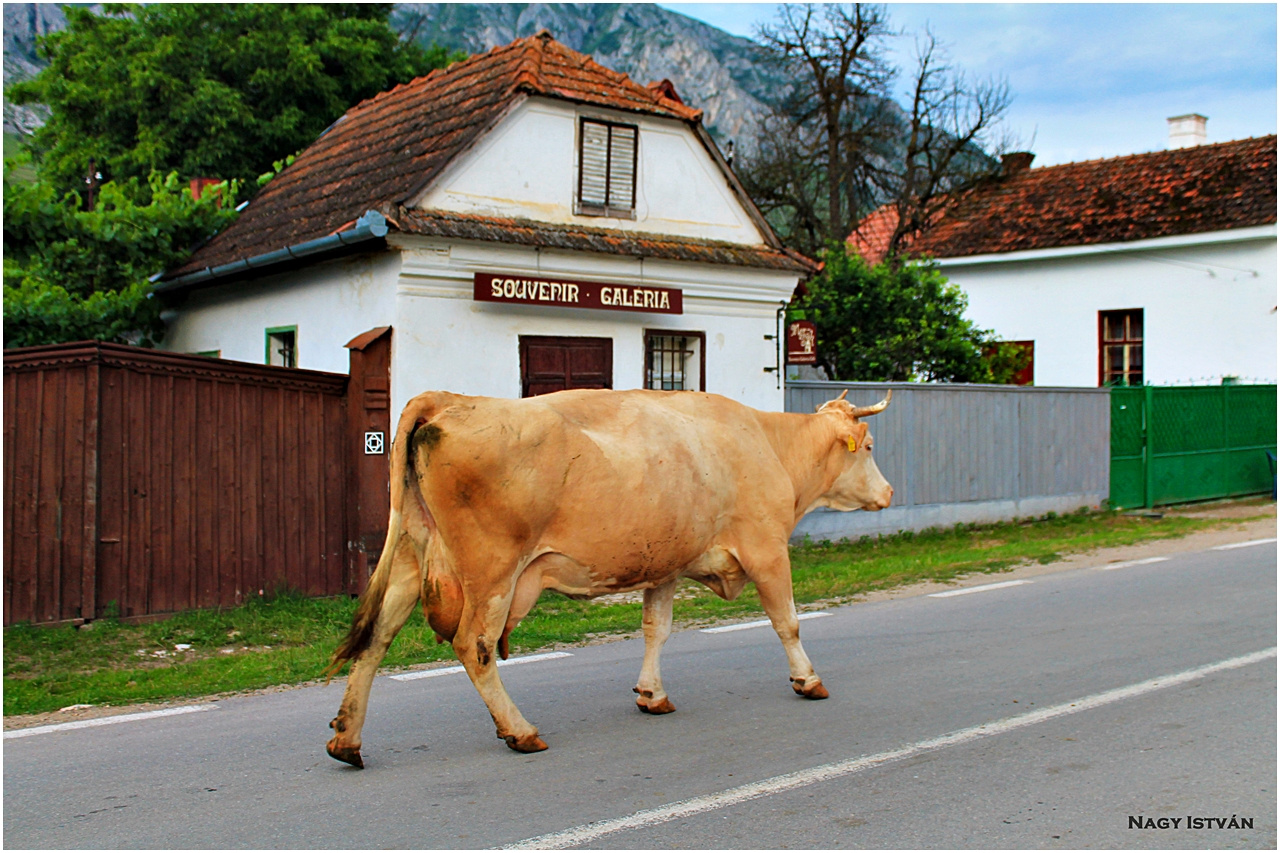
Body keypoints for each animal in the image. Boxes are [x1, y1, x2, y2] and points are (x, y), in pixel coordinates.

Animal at [330, 384, 890, 763]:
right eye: (868, 448)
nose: (887, 493)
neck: (768, 443)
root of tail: (450, 399)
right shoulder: (767, 549)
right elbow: (787, 621)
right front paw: (808, 680)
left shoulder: (666, 563)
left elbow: (656, 629)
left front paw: (651, 694)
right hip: (492, 572)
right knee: (475, 646)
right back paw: (520, 731)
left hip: (410, 558)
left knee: (375, 639)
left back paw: (347, 739)